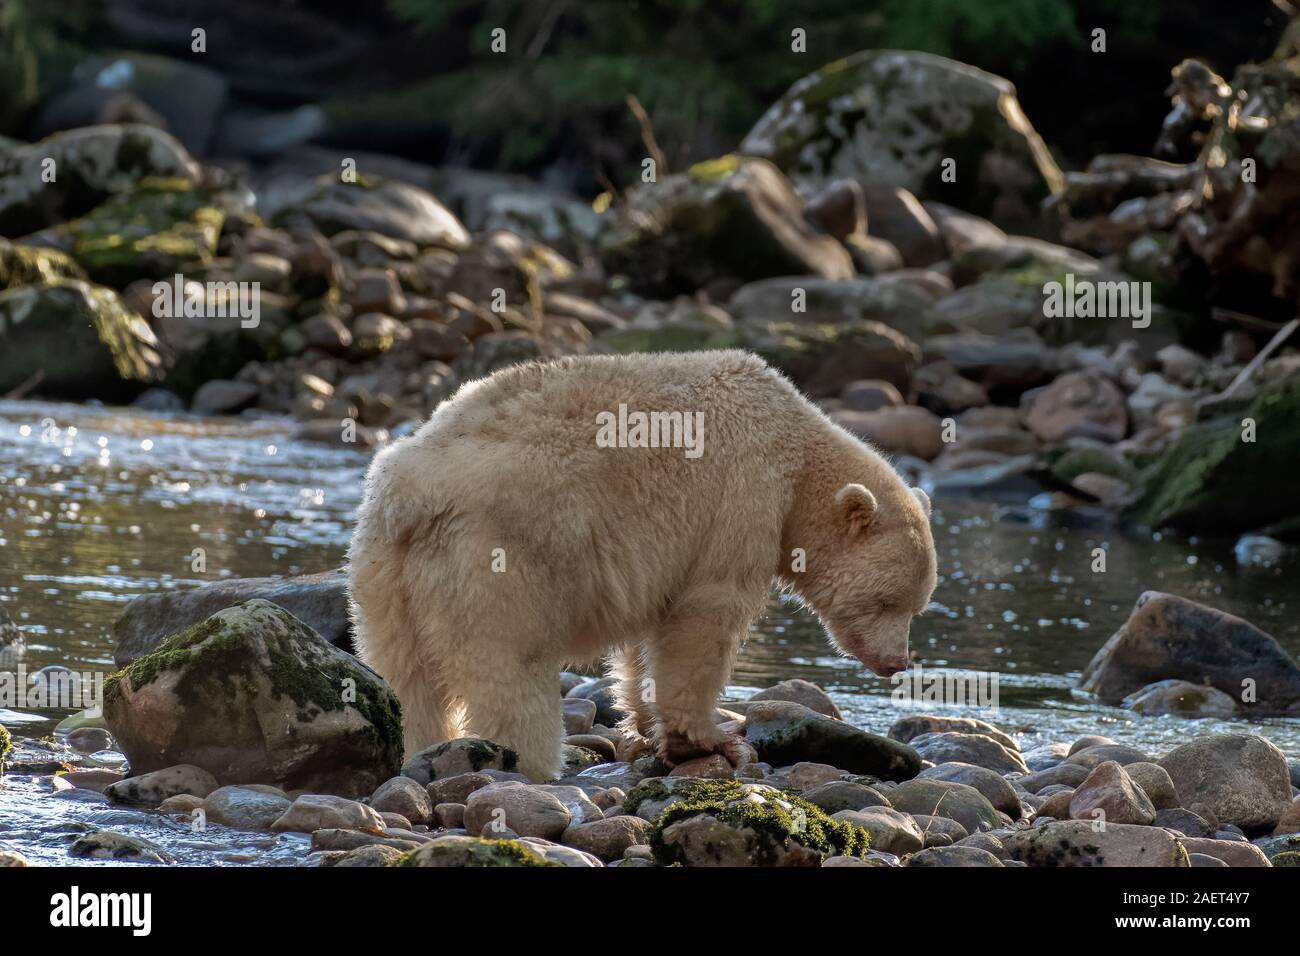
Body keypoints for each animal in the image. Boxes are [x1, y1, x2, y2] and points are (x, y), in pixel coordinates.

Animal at [345, 351, 935, 785]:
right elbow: (705, 618)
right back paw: (529, 764)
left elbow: (646, 637)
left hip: (384, 571)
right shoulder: (743, 501)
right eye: (890, 600)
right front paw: (712, 737)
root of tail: (413, 494)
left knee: (405, 672)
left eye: (918, 605)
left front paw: (647, 730)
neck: (798, 454)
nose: (897, 662)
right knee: (508, 665)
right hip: (497, 556)